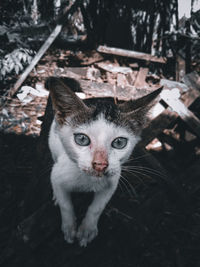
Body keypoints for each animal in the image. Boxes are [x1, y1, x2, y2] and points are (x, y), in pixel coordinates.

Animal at [46, 76, 162, 248]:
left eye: (119, 142)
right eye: (82, 139)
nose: (100, 164)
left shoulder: (112, 181)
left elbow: (97, 207)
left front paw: (87, 229)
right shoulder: (57, 174)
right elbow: (65, 204)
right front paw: (69, 228)